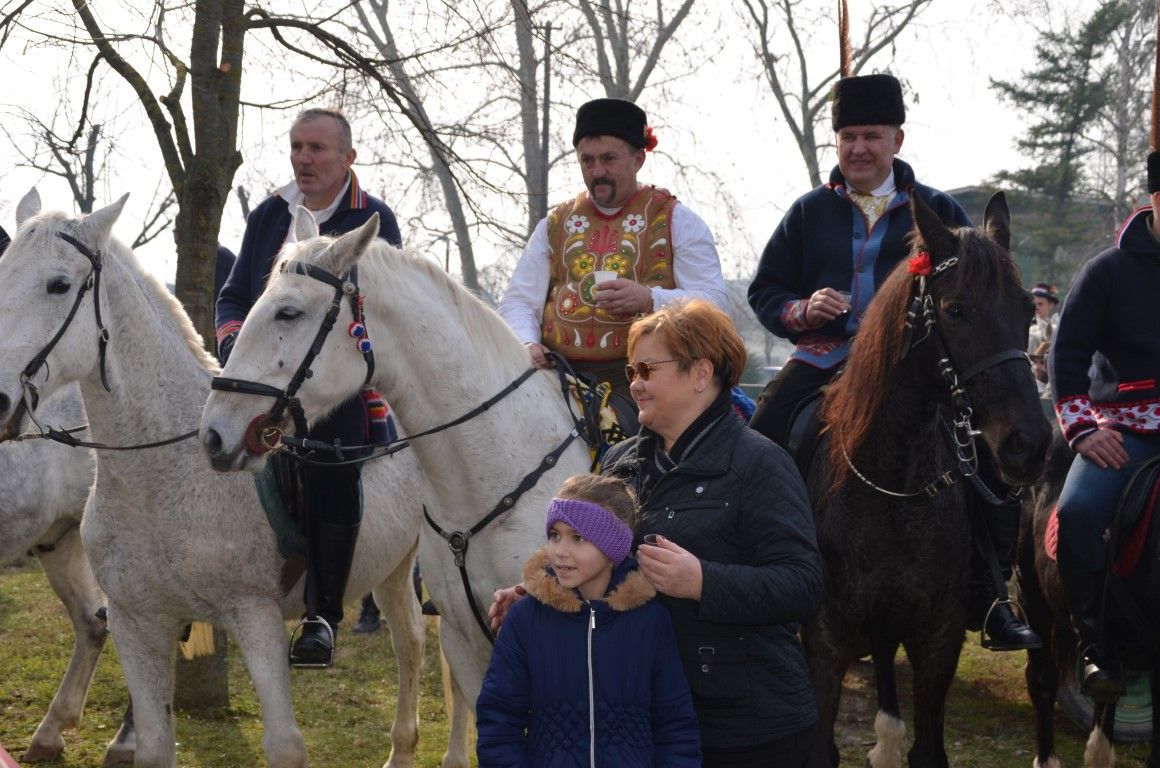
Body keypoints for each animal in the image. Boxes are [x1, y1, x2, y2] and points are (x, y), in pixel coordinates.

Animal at [0, 196, 432, 768]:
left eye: (58, 285)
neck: (159, 482)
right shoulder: (137, 623)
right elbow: (154, 746)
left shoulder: (254, 617)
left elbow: (285, 746)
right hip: (392, 568)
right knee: (412, 645)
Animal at [803, 191, 1052, 768]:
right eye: (956, 310)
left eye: (1028, 311)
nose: (1028, 445)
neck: (891, 487)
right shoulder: (825, 643)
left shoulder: (938, 640)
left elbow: (930, 748)